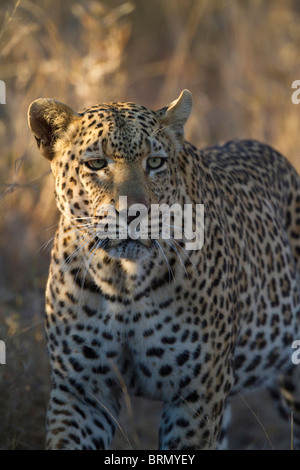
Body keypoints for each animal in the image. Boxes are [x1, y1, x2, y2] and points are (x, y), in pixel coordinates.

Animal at [27, 90, 300, 450]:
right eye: (97, 164)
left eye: (155, 162)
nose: (134, 213)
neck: (122, 280)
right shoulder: (81, 388)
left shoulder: (198, 392)